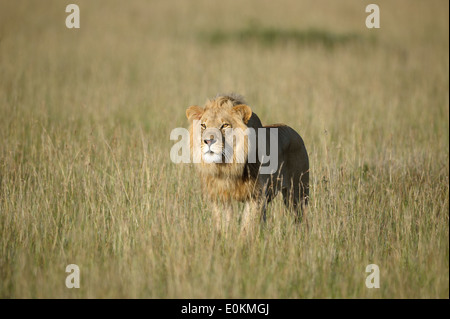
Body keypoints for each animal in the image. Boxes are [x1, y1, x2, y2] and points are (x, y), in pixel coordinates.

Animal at [186, 94, 310, 231]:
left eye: (225, 125)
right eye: (203, 125)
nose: (208, 141)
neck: (226, 166)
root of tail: (295, 132)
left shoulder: (255, 196)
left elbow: (247, 226)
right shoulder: (219, 197)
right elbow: (224, 223)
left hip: (298, 192)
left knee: (301, 217)